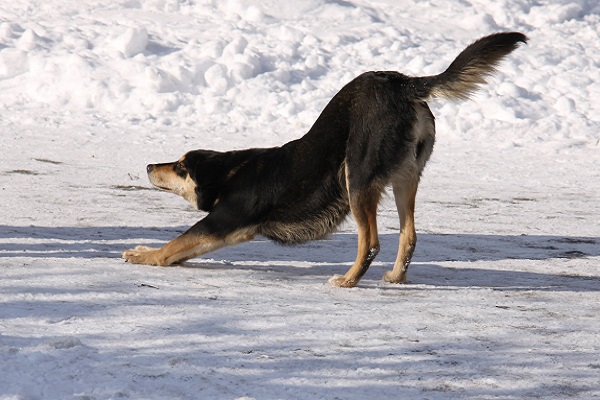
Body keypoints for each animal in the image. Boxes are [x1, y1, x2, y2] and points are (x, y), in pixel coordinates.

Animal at [124, 31, 528, 288]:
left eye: (181, 168)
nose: (148, 166)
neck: (232, 173)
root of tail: (402, 83)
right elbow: (176, 251)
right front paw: (144, 249)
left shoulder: (223, 222)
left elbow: (173, 247)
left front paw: (141, 255)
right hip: (404, 178)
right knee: (409, 235)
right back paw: (396, 277)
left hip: (357, 177)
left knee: (372, 242)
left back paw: (348, 280)